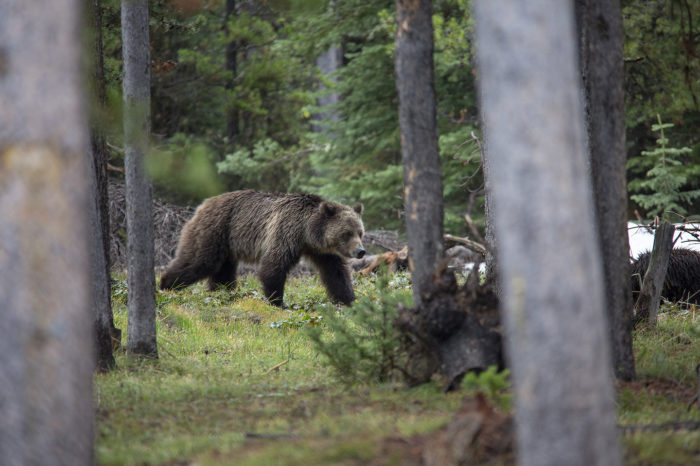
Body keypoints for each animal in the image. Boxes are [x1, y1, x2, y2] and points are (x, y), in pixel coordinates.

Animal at [159, 190, 366, 307]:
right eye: (347, 233)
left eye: (360, 232)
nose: (361, 251)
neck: (307, 232)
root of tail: (203, 204)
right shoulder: (285, 232)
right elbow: (273, 266)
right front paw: (278, 302)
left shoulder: (323, 253)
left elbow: (336, 273)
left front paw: (350, 299)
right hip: (215, 229)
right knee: (199, 261)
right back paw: (165, 285)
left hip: (227, 244)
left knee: (223, 272)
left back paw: (221, 292)